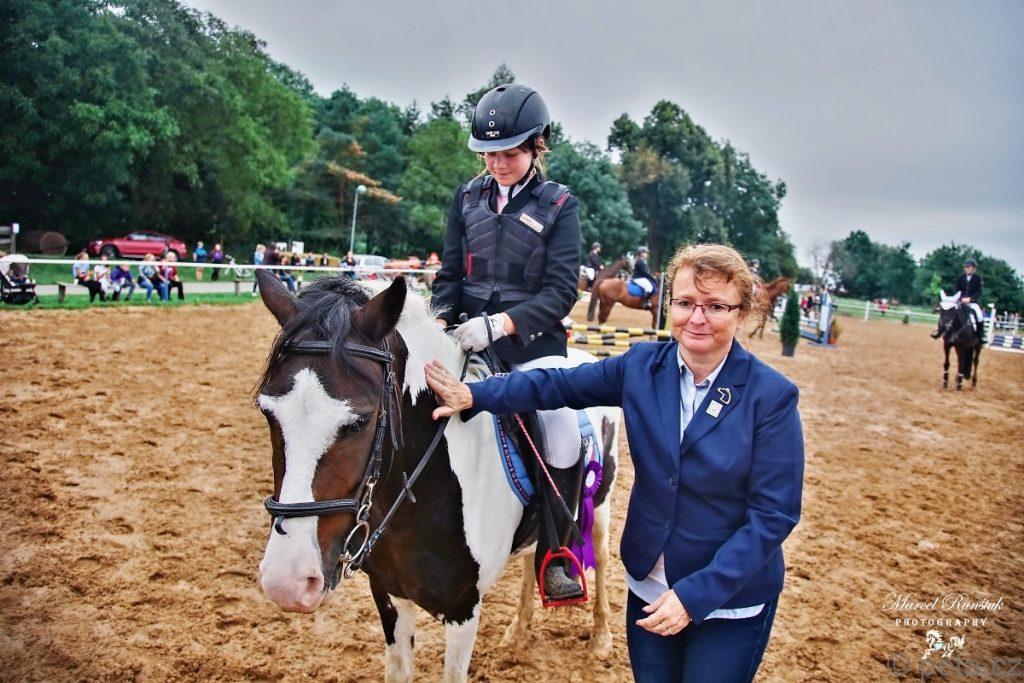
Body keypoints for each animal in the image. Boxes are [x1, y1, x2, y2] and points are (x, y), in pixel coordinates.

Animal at [253, 271, 621, 682]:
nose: (286, 582)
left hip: (600, 505)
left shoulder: (463, 609)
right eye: (267, 411)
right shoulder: (390, 597)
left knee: (602, 558)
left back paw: (600, 638)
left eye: (361, 421)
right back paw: (518, 630)